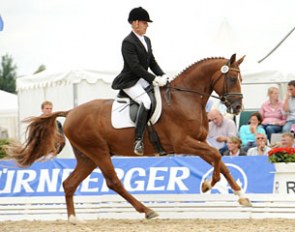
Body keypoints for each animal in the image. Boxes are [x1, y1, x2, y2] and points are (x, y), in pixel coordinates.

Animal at [6, 54, 252, 223]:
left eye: (240, 77)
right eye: (232, 78)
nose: (237, 107)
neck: (185, 99)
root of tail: (71, 112)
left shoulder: (198, 143)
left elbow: (220, 161)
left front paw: (241, 196)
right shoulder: (184, 143)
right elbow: (216, 156)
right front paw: (207, 185)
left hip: (87, 157)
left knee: (69, 183)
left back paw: (74, 219)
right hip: (98, 152)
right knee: (113, 181)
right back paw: (147, 211)